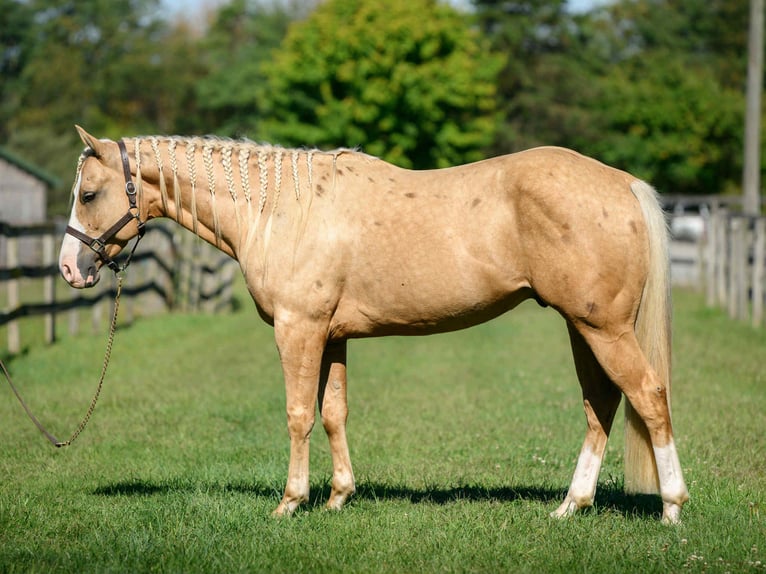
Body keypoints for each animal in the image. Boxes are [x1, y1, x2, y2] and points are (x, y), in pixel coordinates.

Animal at [59, 126, 689, 523]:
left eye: (89, 194)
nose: (70, 268)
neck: (279, 210)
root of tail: (622, 183)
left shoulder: (298, 330)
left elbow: (297, 415)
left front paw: (290, 502)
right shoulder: (332, 337)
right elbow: (333, 413)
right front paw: (338, 497)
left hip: (603, 329)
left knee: (648, 395)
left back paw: (671, 508)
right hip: (582, 328)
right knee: (601, 404)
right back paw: (570, 506)